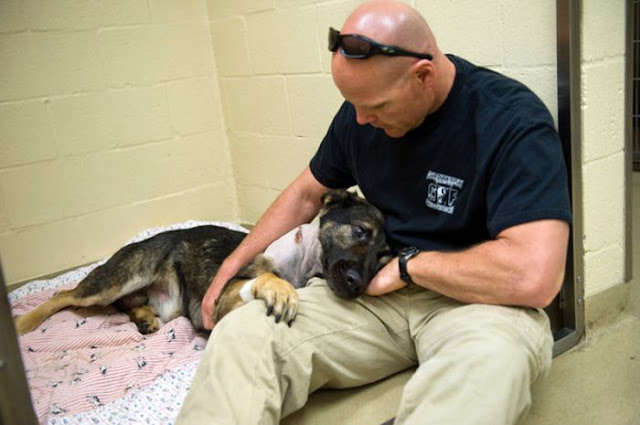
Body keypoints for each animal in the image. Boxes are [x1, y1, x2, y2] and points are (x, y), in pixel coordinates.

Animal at [15, 190, 390, 336]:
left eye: (383, 258)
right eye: (360, 232)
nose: (358, 283)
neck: (302, 263)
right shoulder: (223, 297)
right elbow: (266, 279)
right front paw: (281, 291)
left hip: (165, 304)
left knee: (124, 305)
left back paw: (144, 318)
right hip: (120, 278)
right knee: (63, 296)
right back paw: (22, 324)